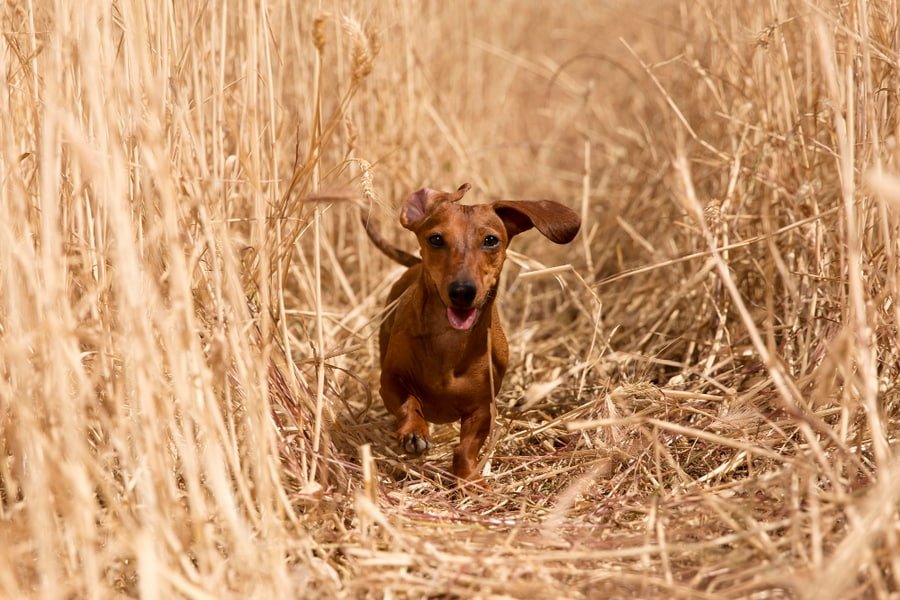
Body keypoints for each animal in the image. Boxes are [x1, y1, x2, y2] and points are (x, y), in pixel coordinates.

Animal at [362, 184, 580, 482]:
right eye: (436, 238)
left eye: (491, 240)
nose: (462, 291)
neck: (450, 340)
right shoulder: (390, 382)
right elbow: (408, 403)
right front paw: (414, 432)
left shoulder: (483, 408)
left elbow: (466, 449)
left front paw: (470, 480)